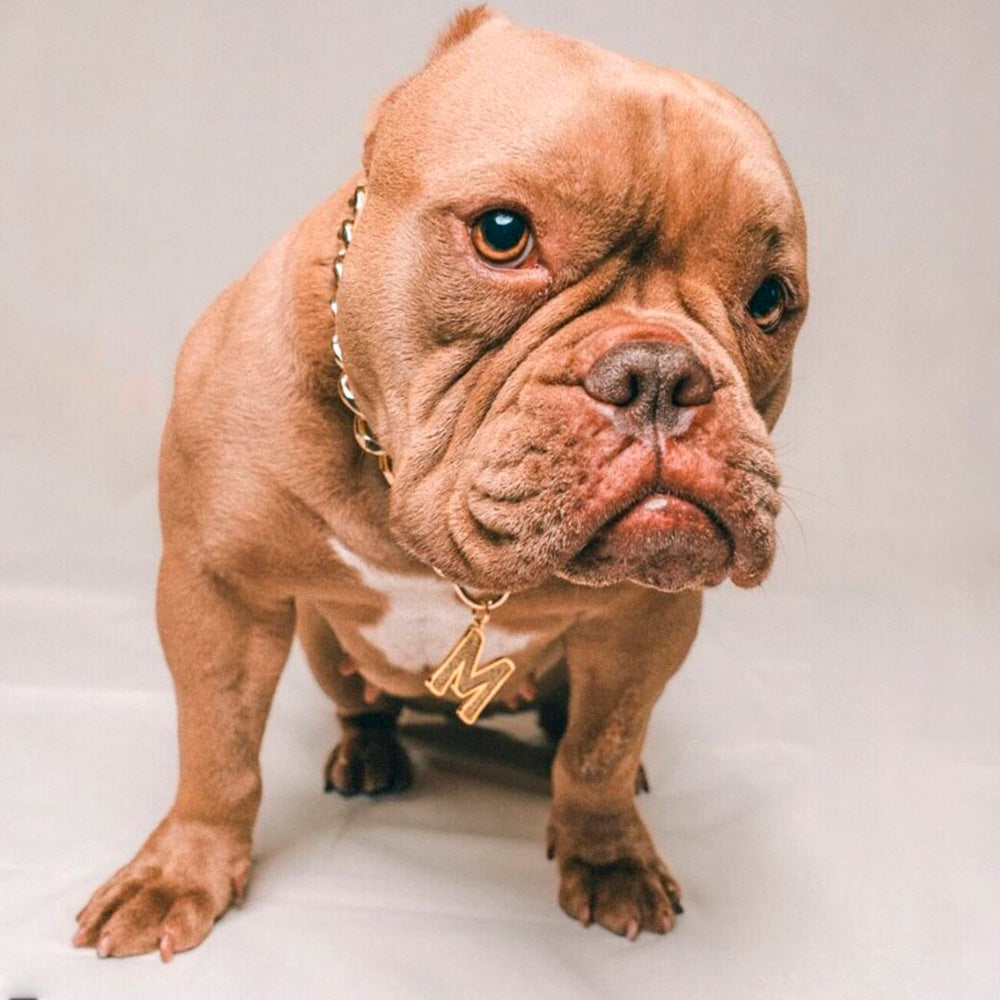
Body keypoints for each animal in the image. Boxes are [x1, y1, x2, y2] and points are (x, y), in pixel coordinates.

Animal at [72, 9, 804, 960]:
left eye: (771, 300)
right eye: (502, 232)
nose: (660, 373)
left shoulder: (648, 625)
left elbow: (600, 750)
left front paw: (608, 856)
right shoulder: (217, 589)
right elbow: (217, 749)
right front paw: (180, 871)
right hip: (325, 651)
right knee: (361, 705)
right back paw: (370, 756)